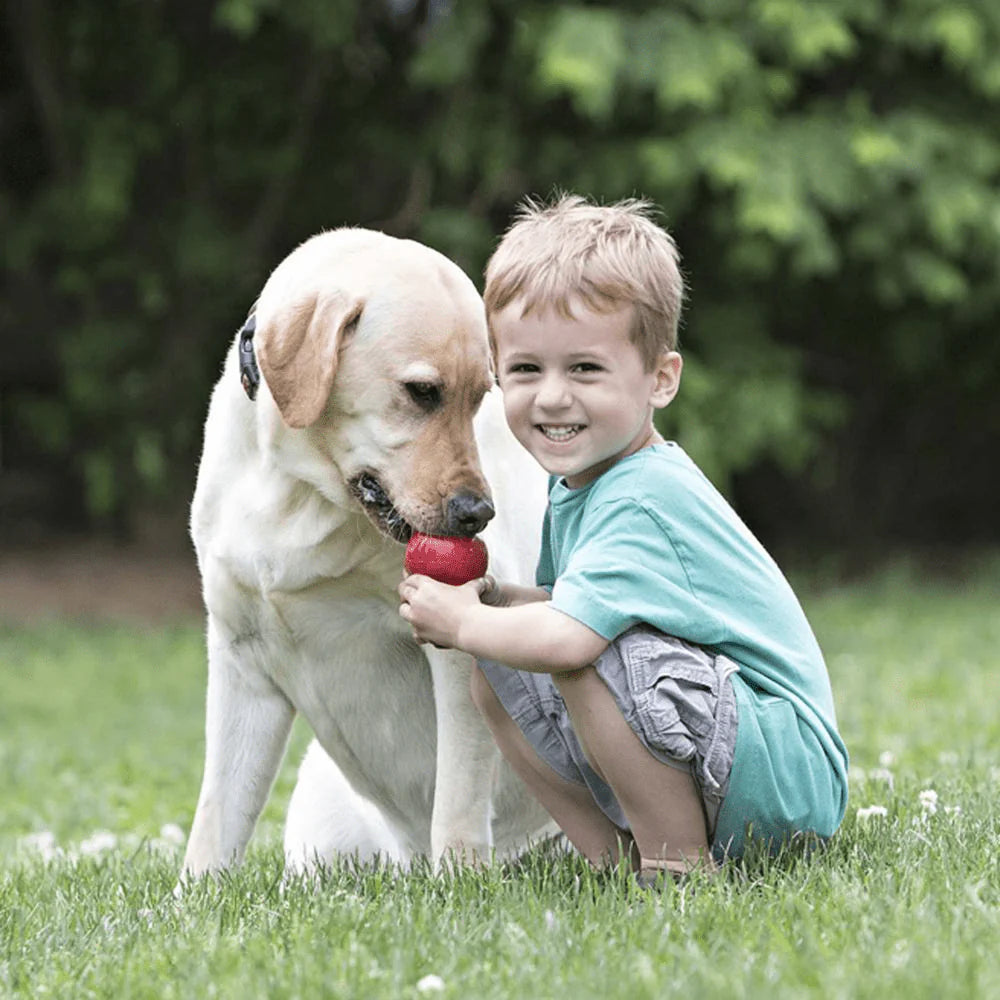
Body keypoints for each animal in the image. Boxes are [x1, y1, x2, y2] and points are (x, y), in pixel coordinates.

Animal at [182, 229, 556, 876]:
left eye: (481, 398)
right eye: (422, 392)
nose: (477, 513)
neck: (298, 490)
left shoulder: (458, 650)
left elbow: (457, 802)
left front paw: (459, 885)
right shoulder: (241, 660)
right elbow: (215, 823)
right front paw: (193, 898)